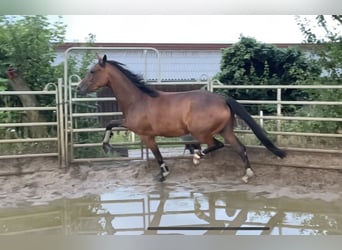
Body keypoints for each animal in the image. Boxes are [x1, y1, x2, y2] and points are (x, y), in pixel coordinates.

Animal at [77, 55, 286, 183]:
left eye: (93, 71)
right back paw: (247, 174)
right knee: (240, 148)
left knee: (216, 144)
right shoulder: (134, 128)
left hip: (200, 132)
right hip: (226, 131)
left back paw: (197, 157)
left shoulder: (144, 134)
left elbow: (156, 154)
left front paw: (163, 174)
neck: (137, 100)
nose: (79, 88)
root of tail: (222, 98)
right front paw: (107, 145)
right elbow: (110, 124)